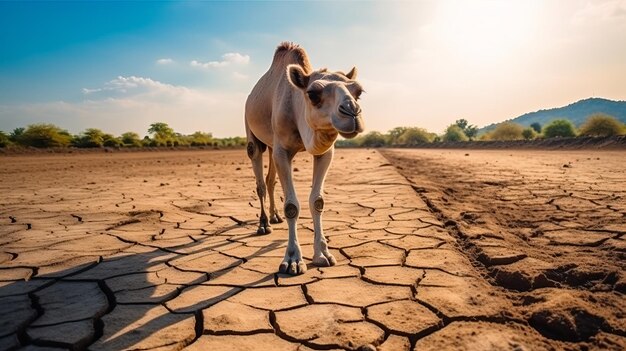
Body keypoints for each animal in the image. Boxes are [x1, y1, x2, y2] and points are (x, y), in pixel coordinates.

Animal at [243, 42, 364, 276]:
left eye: (359, 92)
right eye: (313, 94)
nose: (352, 112)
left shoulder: (325, 152)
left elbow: (317, 201)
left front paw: (323, 254)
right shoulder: (283, 150)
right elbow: (291, 206)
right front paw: (292, 260)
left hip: (271, 144)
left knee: (270, 180)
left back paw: (274, 217)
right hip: (251, 131)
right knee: (260, 179)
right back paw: (264, 224)